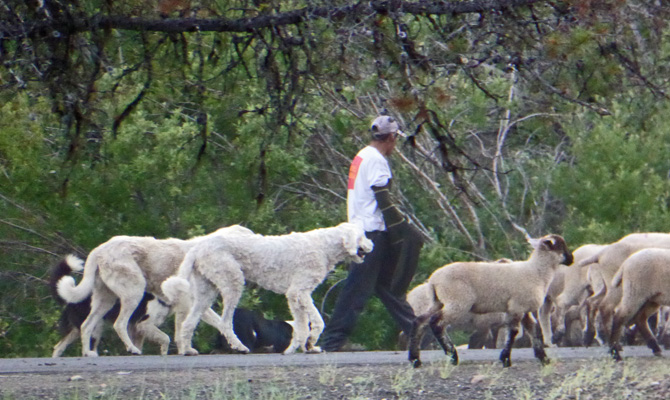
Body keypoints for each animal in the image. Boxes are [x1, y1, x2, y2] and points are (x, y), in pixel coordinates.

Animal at [54, 225, 255, 356]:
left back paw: (88, 353)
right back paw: (132, 350)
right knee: (119, 324)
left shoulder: (189, 305)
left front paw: (186, 350)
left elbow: (191, 328)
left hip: (105, 301)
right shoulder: (190, 304)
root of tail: (99, 249)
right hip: (133, 293)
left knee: (86, 326)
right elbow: (200, 326)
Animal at [162, 222, 372, 356]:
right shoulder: (300, 291)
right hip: (232, 282)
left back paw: (187, 350)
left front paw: (302, 348)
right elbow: (317, 322)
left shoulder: (294, 296)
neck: (325, 245)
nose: (373, 244)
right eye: (362, 236)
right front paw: (311, 341)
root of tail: (198, 247)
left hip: (207, 290)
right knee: (225, 322)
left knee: (189, 323)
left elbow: (301, 326)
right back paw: (240, 347)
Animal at [406, 234, 576, 368]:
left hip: (438, 302)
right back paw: (452, 356)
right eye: (561, 246)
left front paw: (543, 358)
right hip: (457, 302)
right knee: (437, 323)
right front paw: (505, 359)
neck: (536, 272)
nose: (571, 259)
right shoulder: (517, 306)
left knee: (420, 321)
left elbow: (533, 330)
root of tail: (433, 280)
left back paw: (415, 359)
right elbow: (513, 332)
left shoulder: (523, 308)